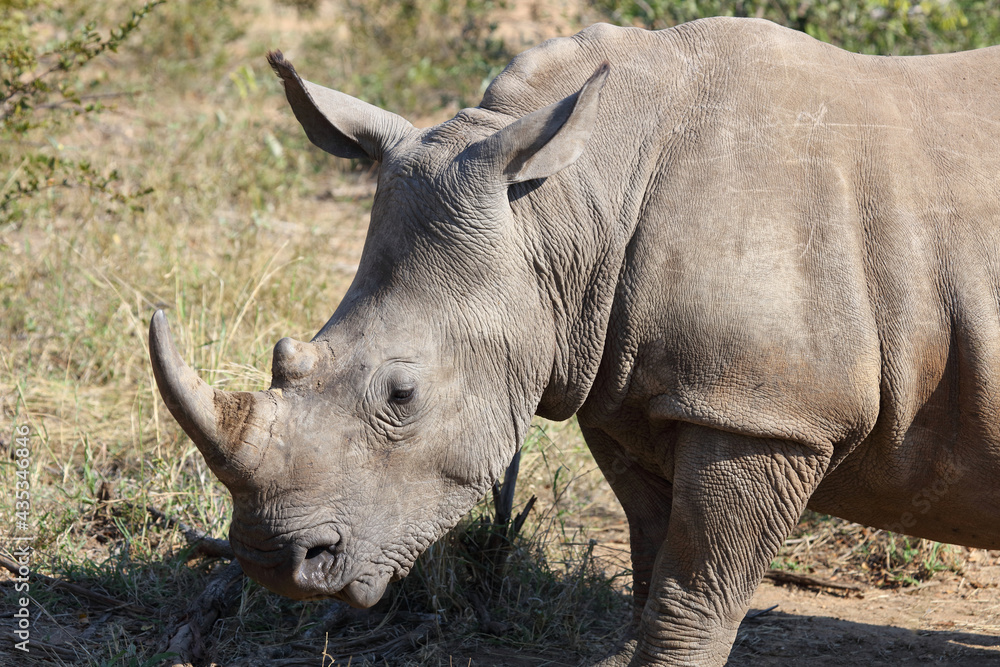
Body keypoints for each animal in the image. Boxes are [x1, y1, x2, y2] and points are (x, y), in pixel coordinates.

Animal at [149, 16, 1000, 665]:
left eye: (402, 394)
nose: (274, 560)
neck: (566, 209)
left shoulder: (762, 413)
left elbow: (695, 592)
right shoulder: (627, 390)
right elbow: (652, 564)